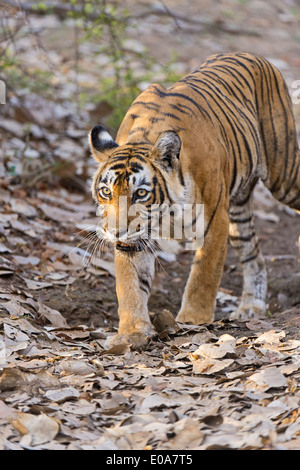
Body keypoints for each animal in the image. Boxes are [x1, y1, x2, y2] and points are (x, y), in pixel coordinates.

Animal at [89, 53, 300, 350]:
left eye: (140, 193)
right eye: (106, 192)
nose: (115, 232)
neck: (165, 214)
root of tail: (254, 55)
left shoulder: (214, 221)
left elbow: (204, 276)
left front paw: (193, 320)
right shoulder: (134, 240)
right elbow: (130, 285)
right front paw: (132, 332)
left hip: (283, 174)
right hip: (239, 213)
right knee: (253, 254)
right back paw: (251, 307)